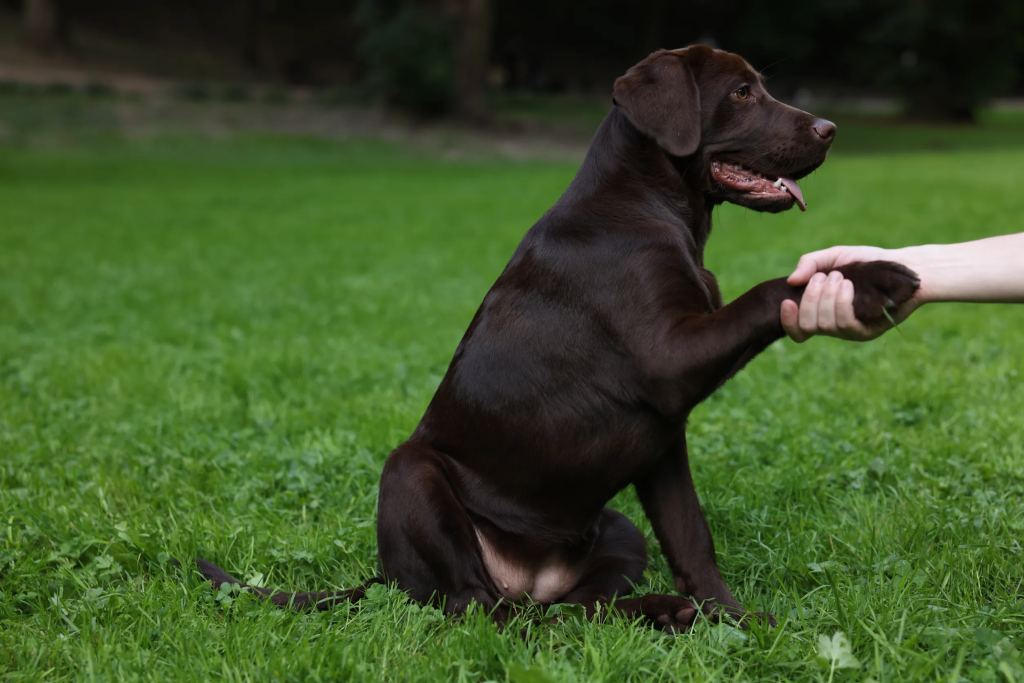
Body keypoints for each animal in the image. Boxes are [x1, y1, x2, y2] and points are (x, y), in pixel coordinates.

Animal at [197, 45, 921, 634]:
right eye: (742, 92)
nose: (830, 129)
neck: (650, 205)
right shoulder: (670, 361)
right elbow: (770, 292)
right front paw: (866, 278)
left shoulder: (664, 439)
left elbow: (693, 538)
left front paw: (739, 620)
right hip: (412, 473)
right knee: (487, 609)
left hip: (616, 529)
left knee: (572, 607)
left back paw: (665, 611)